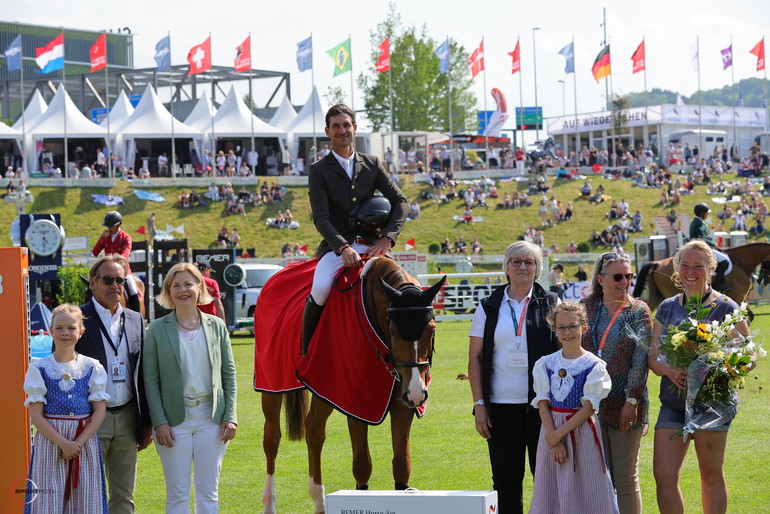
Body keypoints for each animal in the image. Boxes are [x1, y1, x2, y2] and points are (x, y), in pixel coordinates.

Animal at [260, 258, 444, 510]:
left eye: (432, 329)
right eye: (394, 331)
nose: (417, 392)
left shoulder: (402, 402)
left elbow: (401, 463)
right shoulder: (354, 401)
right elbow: (362, 465)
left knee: (313, 430)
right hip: (277, 385)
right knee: (274, 437)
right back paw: (275, 500)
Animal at [628, 243, 768, 310]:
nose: (762, 281)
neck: (740, 262)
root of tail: (657, 263)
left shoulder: (740, 298)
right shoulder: (738, 296)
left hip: (658, 295)